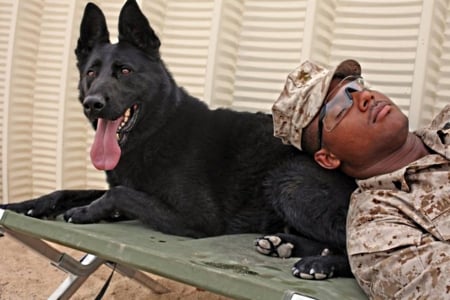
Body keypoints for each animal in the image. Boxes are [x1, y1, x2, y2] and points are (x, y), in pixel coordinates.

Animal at [1, 0, 356, 280]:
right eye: (91, 72)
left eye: (125, 71)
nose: (93, 104)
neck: (156, 130)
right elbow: (69, 190)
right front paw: (22, 205)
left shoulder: (197, 219)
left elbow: (118, 193)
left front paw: (87, 212)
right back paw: (285, 244)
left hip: (288, 182)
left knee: (354, 244)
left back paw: (320, 264)